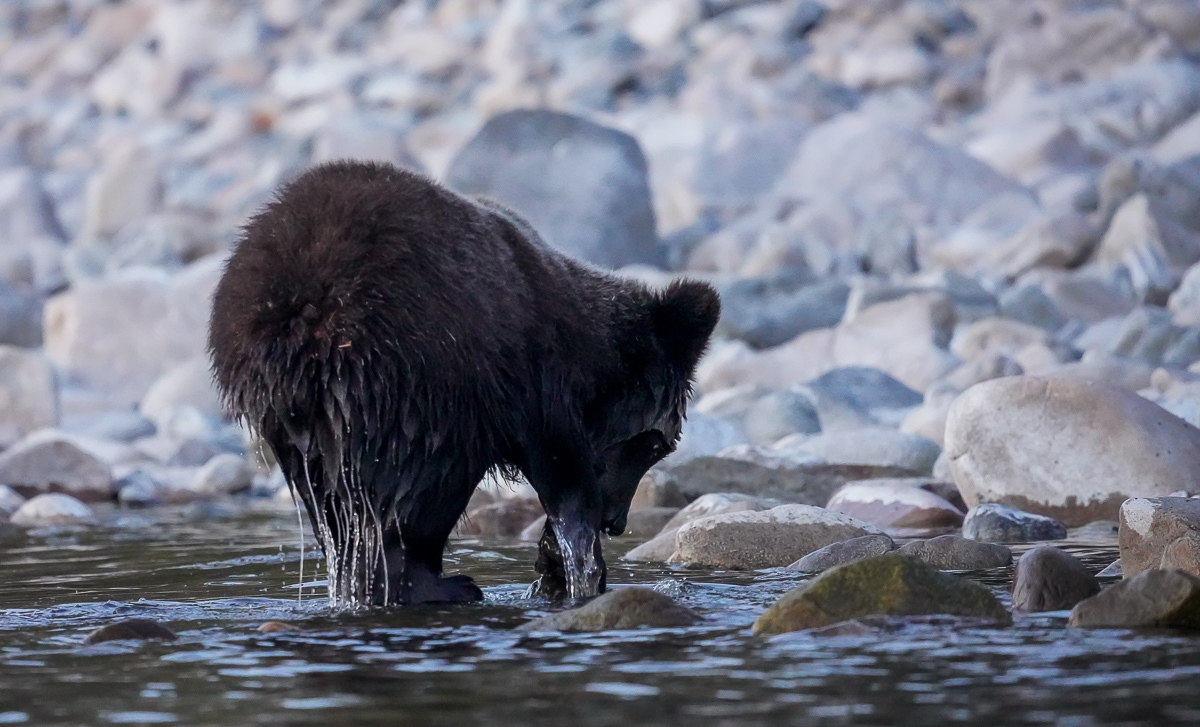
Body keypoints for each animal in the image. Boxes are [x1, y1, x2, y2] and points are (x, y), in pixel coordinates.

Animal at [208, 160, 720, 609]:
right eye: (655, 444)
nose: (617, 522)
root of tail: (297, 321)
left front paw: (555, 564)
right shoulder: (532, 378)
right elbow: (562, 472)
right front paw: (578, 564)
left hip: (298, 430)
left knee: (337, 513)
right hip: (421, 382)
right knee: (421, 493)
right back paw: (441, 584)